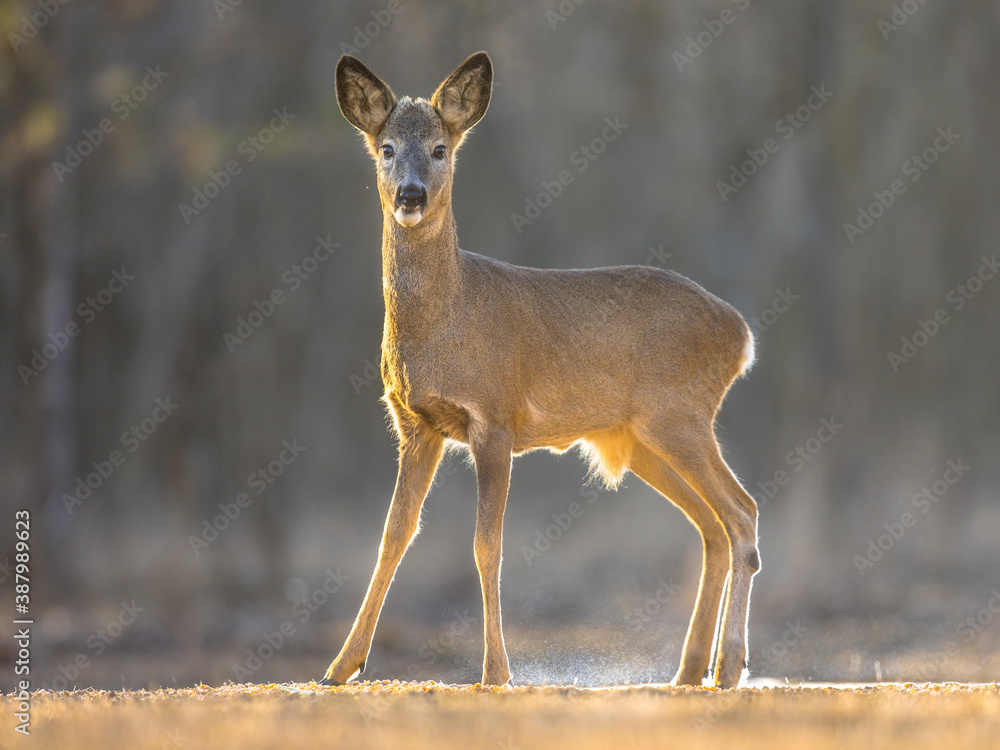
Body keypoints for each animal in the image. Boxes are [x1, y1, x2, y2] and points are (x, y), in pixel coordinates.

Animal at [322, 50, 756, 692]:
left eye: (440, 149)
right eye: (387, 148)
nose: (410, 195)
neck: (448, 319)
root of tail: (742, 335)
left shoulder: (494, 417)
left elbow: (487, 545)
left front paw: (496, 670)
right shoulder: (415, 424)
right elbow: (394, 536)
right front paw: (341, 666)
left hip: (680, 416)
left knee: (741, 514)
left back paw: (728, 667)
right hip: (643, 438)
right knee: (712, 526)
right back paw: (689, 670)